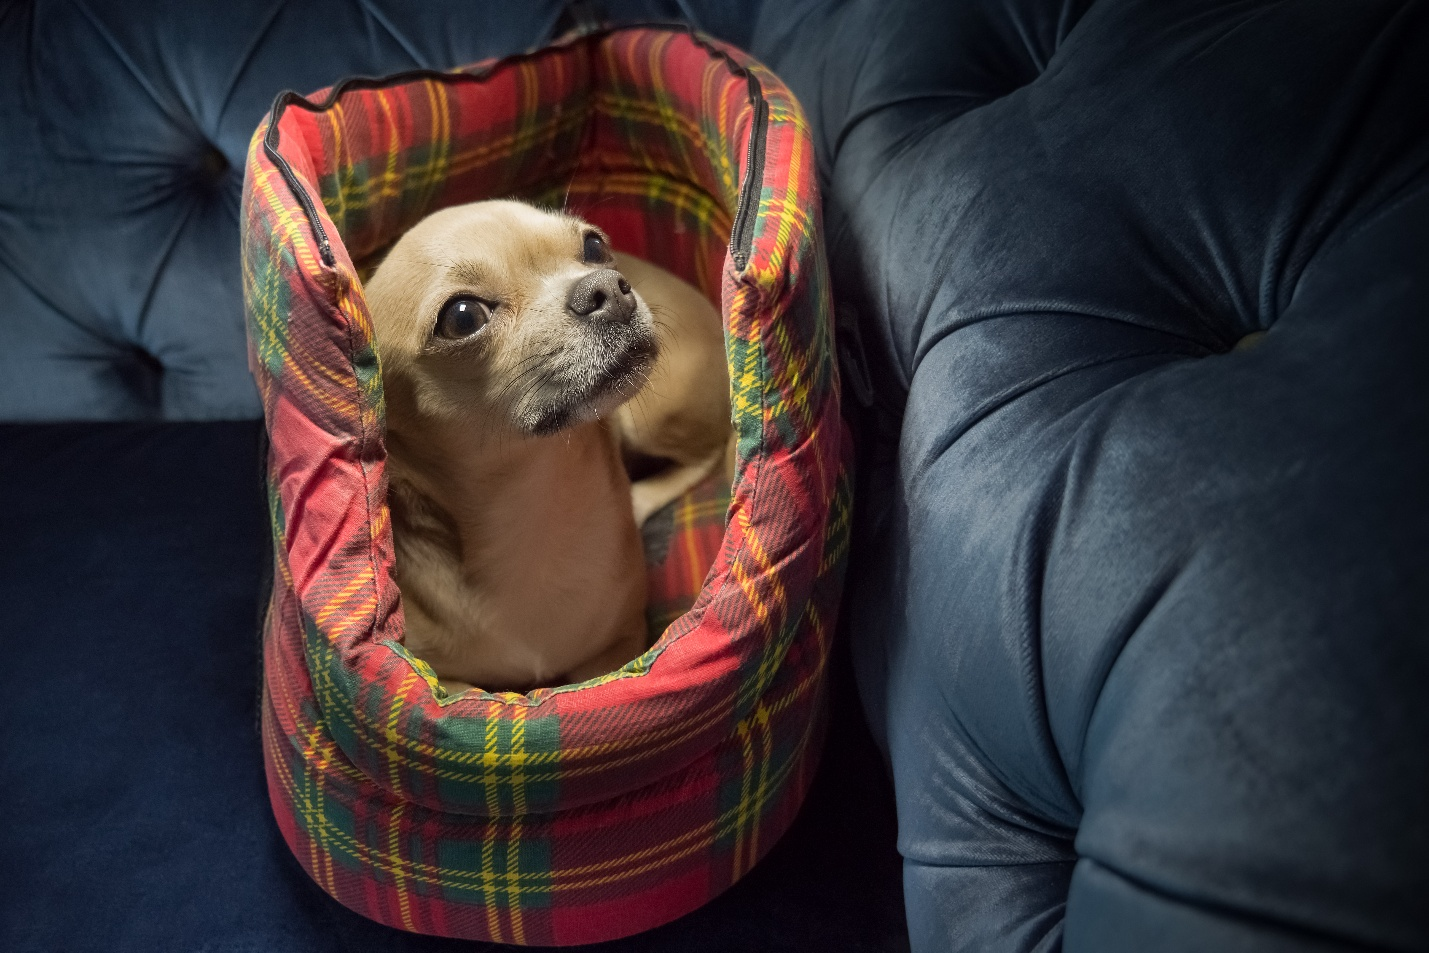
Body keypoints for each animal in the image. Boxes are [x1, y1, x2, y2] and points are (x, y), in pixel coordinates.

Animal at [364, 200, 730, 693]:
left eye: (594, 246)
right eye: (462, 317)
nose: (607, 287)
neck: (529, 500)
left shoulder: (614, 650)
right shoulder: (447, 679)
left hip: (654, 416)